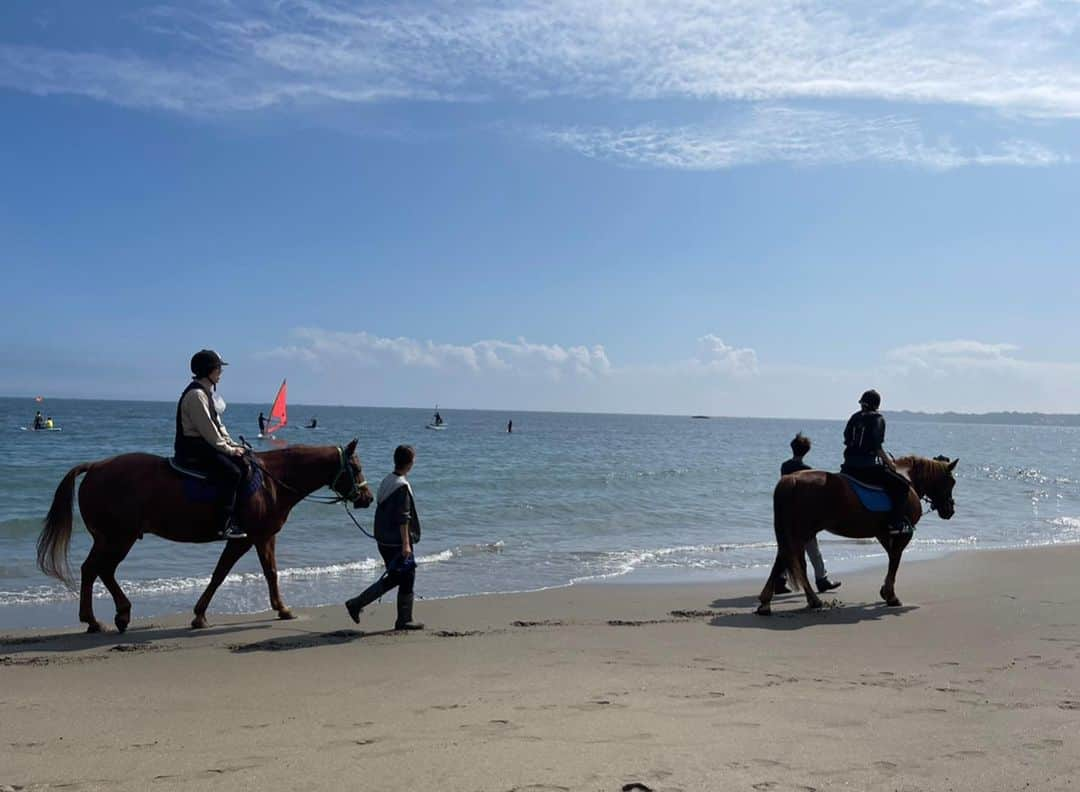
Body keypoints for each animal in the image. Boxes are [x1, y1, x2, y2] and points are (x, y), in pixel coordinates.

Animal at [36, 440, 375, 635]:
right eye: (356, 466)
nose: (368, 498)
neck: (272, 481)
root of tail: (95, 466)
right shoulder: (252, 537)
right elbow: (247, 573)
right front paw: (281, 609)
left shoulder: (255, 538)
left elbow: (240, 573)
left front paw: (201, 614)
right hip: (118, 538)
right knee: (98, 569)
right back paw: (106, 617)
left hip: (112, 538)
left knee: (96, 570)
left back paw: (104, 618)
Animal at [756, 453, 959, 613]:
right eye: (951, 481)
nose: (949, 510)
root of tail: (791, 480)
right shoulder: (902, 534)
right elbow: (895, 559)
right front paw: (890, 595)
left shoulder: (883, 533)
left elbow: (892, 557)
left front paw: (885, 591)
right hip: (801, 533)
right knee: (787, 561)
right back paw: (782, 601)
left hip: (799, 534)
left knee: (789, 561)